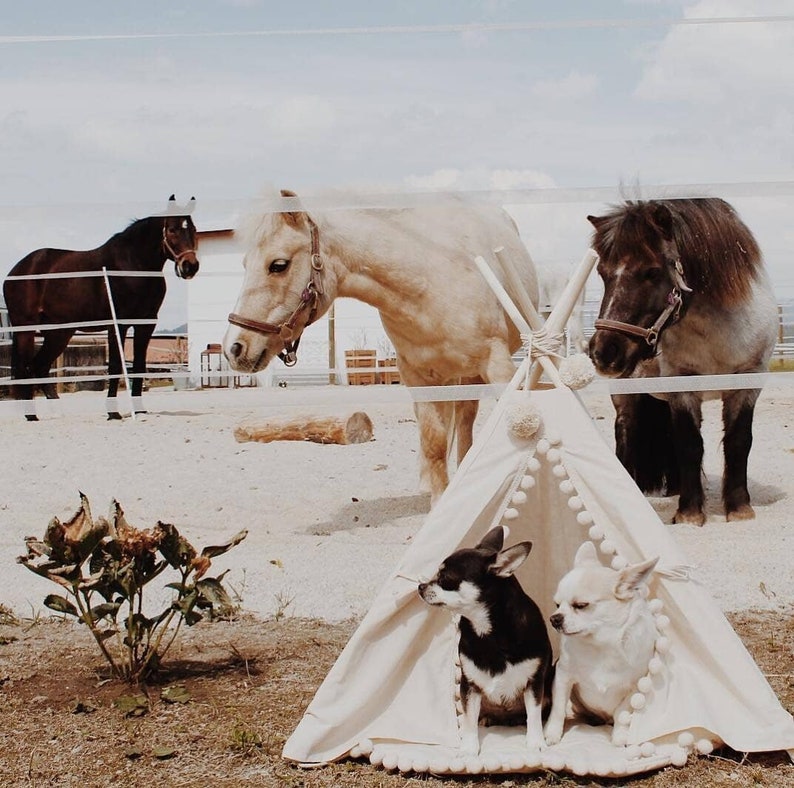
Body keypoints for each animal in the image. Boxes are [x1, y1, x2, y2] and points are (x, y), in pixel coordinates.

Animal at [3, 196, 200, 418]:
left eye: (193, 229)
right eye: (172, 229)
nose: (190, 266)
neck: (132, 266)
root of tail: (17, 270)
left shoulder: (146, 323)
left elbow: (139, 365)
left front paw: (140, 410)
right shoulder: (118, 324)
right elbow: (115, 365)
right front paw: (113, 413)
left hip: (58, 332)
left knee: (40, 367)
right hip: (26, 330)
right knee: (26, 369)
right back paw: (31, 415)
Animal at [220, 188, 536, 502]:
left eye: (278, 265)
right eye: (245, 264)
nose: (234, 348)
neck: (430, 281)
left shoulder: (498, 367)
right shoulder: (418, 378)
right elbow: (434, 443)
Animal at [588, 200, 772, 528]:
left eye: (651, 272)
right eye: (602, 273)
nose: (603, 352)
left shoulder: (748, 383)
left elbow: (738, 441)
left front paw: (739, 509)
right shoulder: (682, 387)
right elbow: (690, 443)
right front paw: (690, 513)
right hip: (625, 395)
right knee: (625, 430)